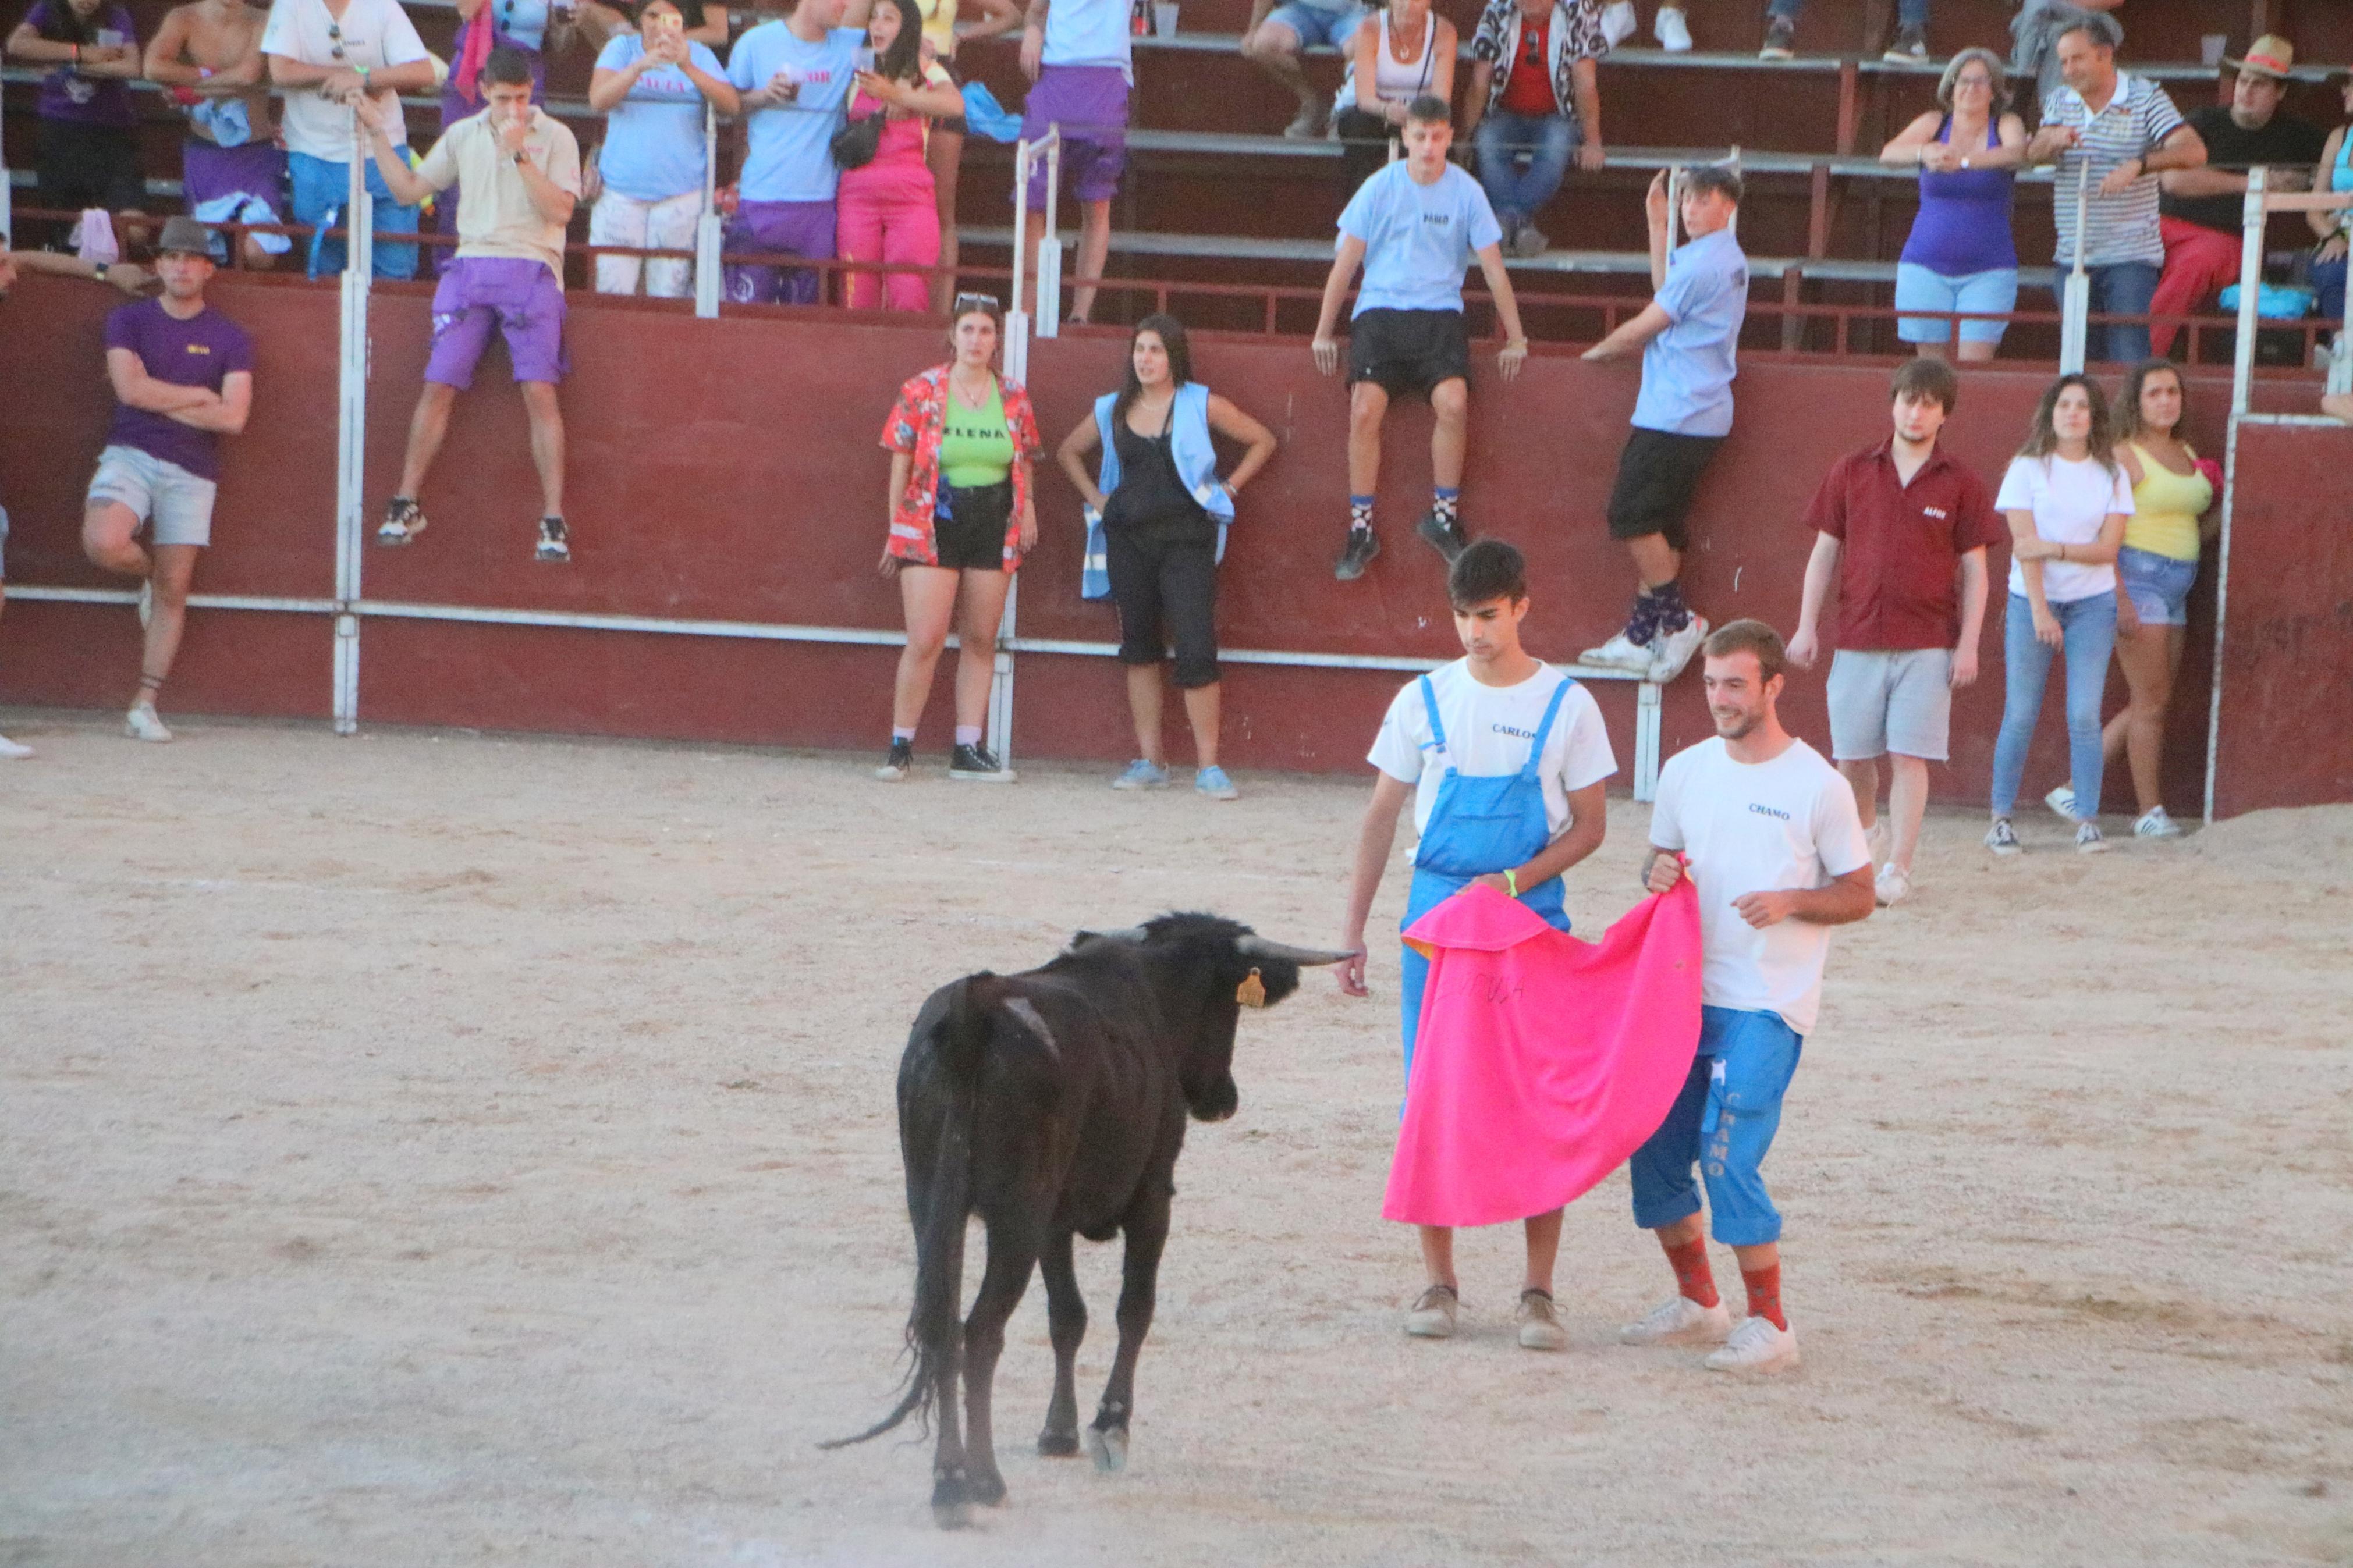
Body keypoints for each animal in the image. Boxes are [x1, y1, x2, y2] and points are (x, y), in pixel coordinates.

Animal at [824, 912, 1346, 1523]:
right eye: (1228, 1007)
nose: (1224, 1099)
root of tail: (975, 1009)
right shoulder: (1152, 1197)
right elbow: (1133, 1309)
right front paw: (1110, 1426)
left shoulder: (1054, 1220)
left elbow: (1066, 1317)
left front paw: (1059, 1431)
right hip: (1016, 1217)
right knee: (982, 1331)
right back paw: (981, 1479)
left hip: (931, 1205)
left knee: (943, 1326)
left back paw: (948, 1481)